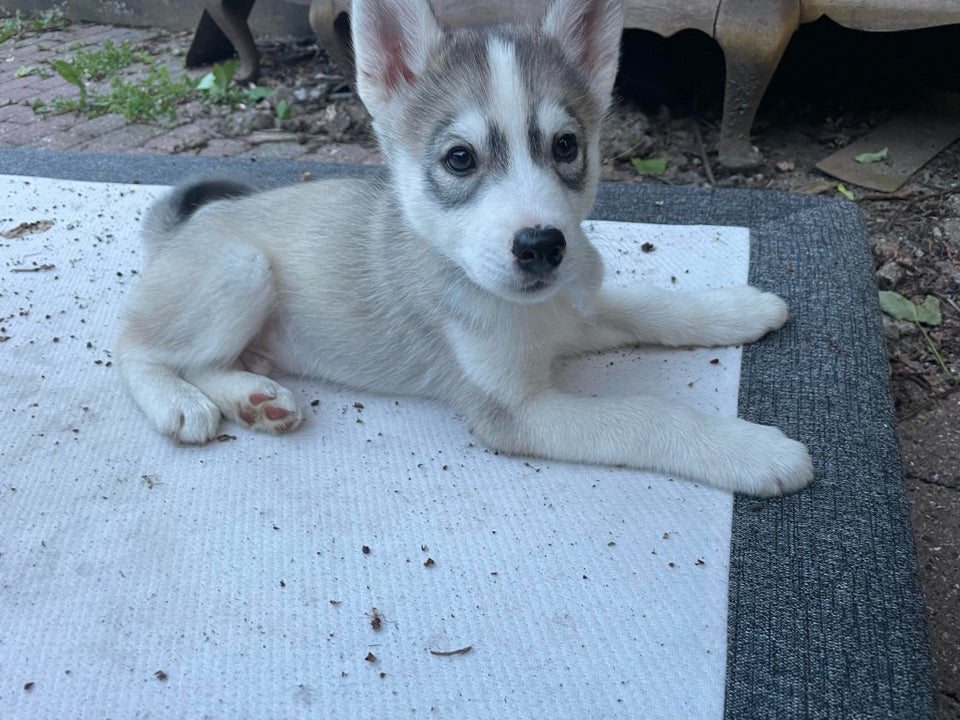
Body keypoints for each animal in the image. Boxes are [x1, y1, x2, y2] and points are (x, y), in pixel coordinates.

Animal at [116, 0, 812, 498]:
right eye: (460, 159)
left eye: (566, 146)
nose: (542, 247)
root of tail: (181, 230)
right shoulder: (513, 412)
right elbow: (646, 417)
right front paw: (753, 451)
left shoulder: (578, 312)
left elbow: (648, 305)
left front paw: (737, 308)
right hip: (242, 268)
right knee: (133, 348)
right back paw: (180, 404)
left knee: (206, 359)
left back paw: (254, 399)